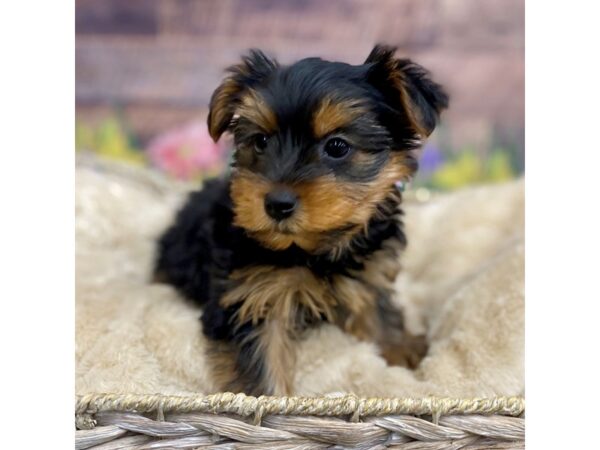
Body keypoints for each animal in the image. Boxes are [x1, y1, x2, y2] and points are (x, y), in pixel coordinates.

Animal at [152, 43, 448, 394]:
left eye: (337, 146)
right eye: (261, 141)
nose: (277, 204)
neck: (312, 249)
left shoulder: (369, 269)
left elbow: (377, 309)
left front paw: (399, 347)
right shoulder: (252, 297)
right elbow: (263, 363)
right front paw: (270, 400)